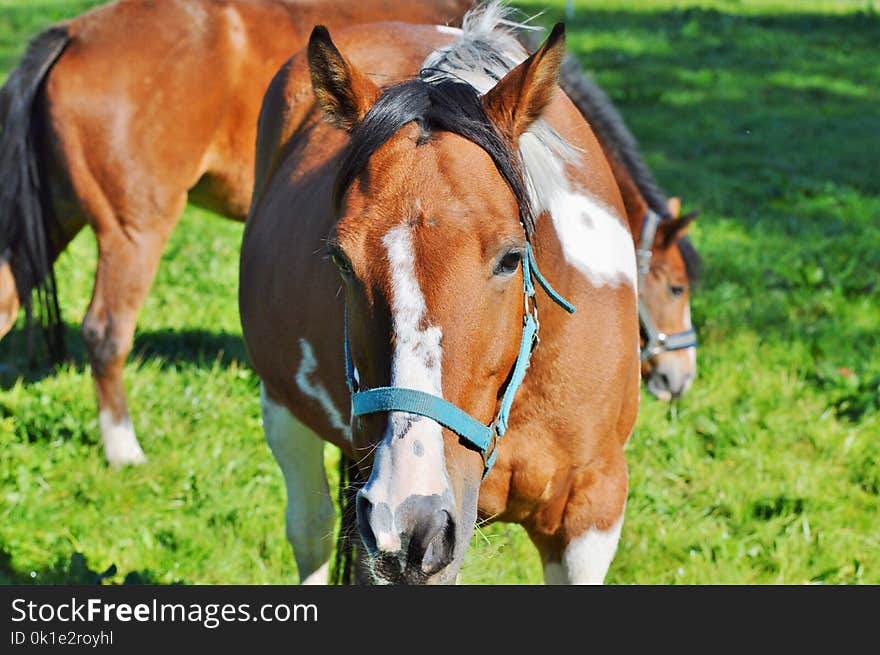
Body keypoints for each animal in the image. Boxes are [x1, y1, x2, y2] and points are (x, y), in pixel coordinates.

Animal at [241, 5, 640, 588]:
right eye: (341, 260)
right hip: (284, 412)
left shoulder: (592, 509)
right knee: (309, 527)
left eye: (511, 258)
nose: (406, 521)